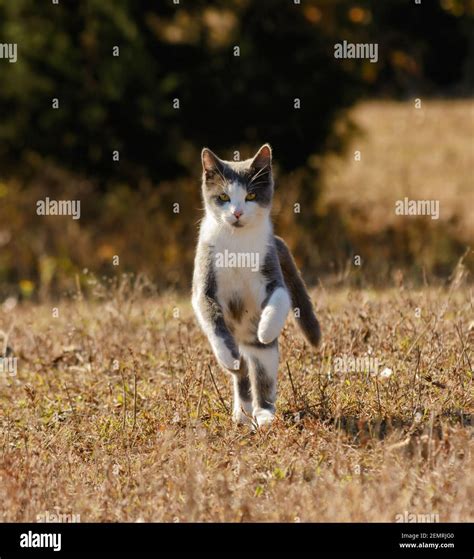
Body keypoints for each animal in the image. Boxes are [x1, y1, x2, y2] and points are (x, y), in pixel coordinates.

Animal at [191, 144, 320, 428]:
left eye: (250, 195)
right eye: (224, 197)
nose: (237, 213)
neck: (238, 244)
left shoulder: (269, 267)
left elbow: (280, 297)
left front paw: (266, 329)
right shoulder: (205, 277)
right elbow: (209, 311)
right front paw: (226, 354)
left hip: (263, 356)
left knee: (262, 373)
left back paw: (263, 414)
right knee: (241, 373)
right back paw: (242, 413)